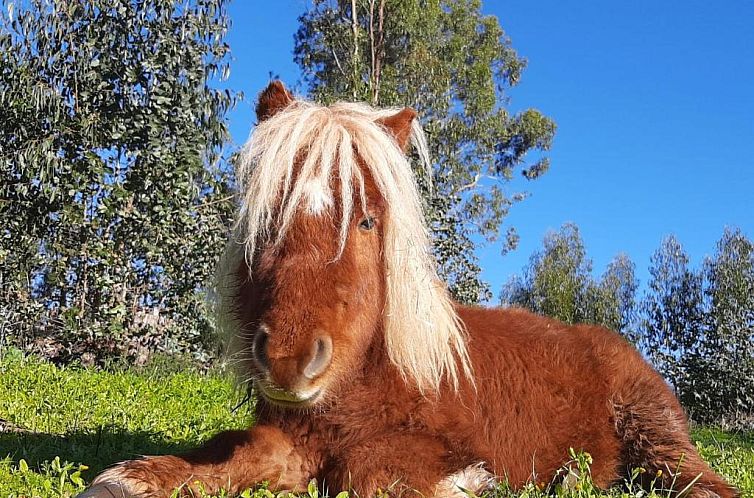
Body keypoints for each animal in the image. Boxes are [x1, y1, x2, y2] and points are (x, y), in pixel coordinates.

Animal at [81, 81, 736, 498]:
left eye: (368, 221)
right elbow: (239, 450)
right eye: (269, 214)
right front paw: (134, 477)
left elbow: (370, 472)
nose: (291, 360)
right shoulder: (292, 437)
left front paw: (468, 482)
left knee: (694, 480)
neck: (373, 378)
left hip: (654, 431)